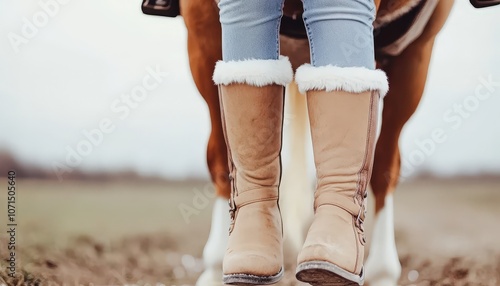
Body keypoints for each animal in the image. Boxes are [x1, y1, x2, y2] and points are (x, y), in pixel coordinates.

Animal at [180, 1, 454, 284]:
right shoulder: (203, 33)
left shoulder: (413, 55)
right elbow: (222, 159)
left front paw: (380, 273)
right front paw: (217, 267)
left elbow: (383, 167)